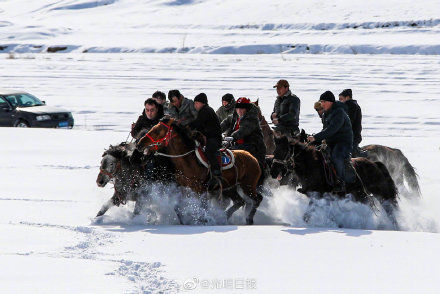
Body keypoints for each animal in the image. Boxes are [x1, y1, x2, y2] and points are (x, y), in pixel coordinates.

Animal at [270, 136, 400, 227]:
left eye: (282, 151)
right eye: (274, 150)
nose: (273, 171)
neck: (311, 165)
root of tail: (375, 164)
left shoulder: (318, 194)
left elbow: (308, 214)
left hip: (379, 193)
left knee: (390, 209)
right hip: (361, 195)